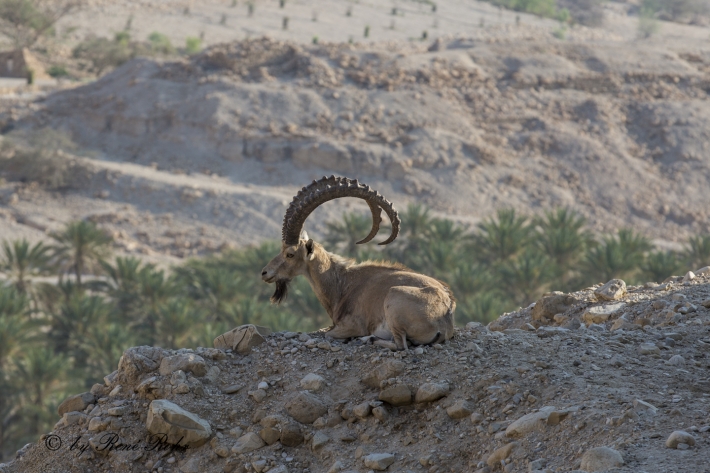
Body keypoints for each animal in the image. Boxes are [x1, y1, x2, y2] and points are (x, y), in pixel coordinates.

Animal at [261, 176, 455, 350]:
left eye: (290, 254)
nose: (265, 273)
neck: (342, 284)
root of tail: (445, 319)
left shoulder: (352, 325)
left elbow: (328, 334)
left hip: (394, 298)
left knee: (400, 345)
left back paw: (369, 339)